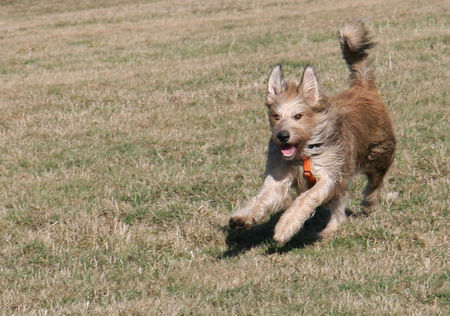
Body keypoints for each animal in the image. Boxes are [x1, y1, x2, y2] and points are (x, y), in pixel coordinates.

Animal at [230, 21, 396, 243]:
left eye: (298, 116)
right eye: (276, 116)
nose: (282, 136)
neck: (303, 154)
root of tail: (363, 87)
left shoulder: (328, 172)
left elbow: (306, 198)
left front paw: (285, 226)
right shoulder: (279, 174)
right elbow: (264, 197)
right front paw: (242, 218)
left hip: (379, 150)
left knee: (375, 181)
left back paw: (368, 204)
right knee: (340, 203)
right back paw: (329, 230)